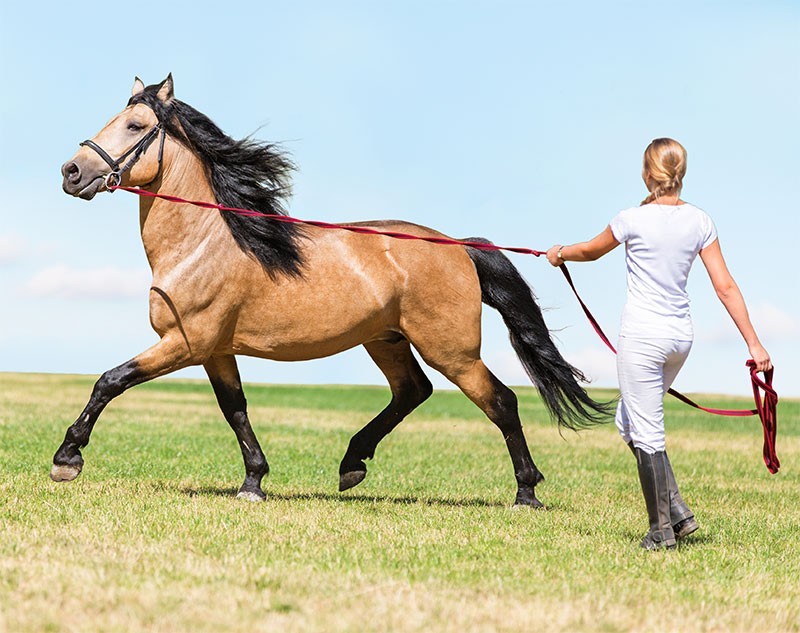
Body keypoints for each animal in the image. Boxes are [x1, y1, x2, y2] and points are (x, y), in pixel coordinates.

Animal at [55, 74, 609, 507]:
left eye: (134, 126)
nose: (72, 172)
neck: (204, 243)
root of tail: (457, 247)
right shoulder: (215, 351)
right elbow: (235, 410)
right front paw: (254, 481)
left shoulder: (186, 344)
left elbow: (110, 380)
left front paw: (67, 458)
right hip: (386, 340)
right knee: (413, 391)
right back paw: (352, 464)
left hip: (451, 350)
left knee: (501, 402)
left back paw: (526, 492)